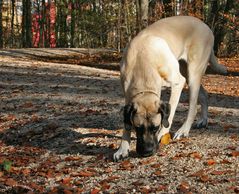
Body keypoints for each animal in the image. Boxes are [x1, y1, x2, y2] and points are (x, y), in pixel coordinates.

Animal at [113, 15, 227, 161]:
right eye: (137, 128)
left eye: (155, 128)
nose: (146, 152)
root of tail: (205, 26)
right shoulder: (127, 94)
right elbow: (125, 124)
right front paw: (122, 149)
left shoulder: (178, 82)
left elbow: (171, 111)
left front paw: (163, 132)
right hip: (187, 72)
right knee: (204, 94)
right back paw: (203, 120)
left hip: (192, 73)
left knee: (193, 106)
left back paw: (184, 130)